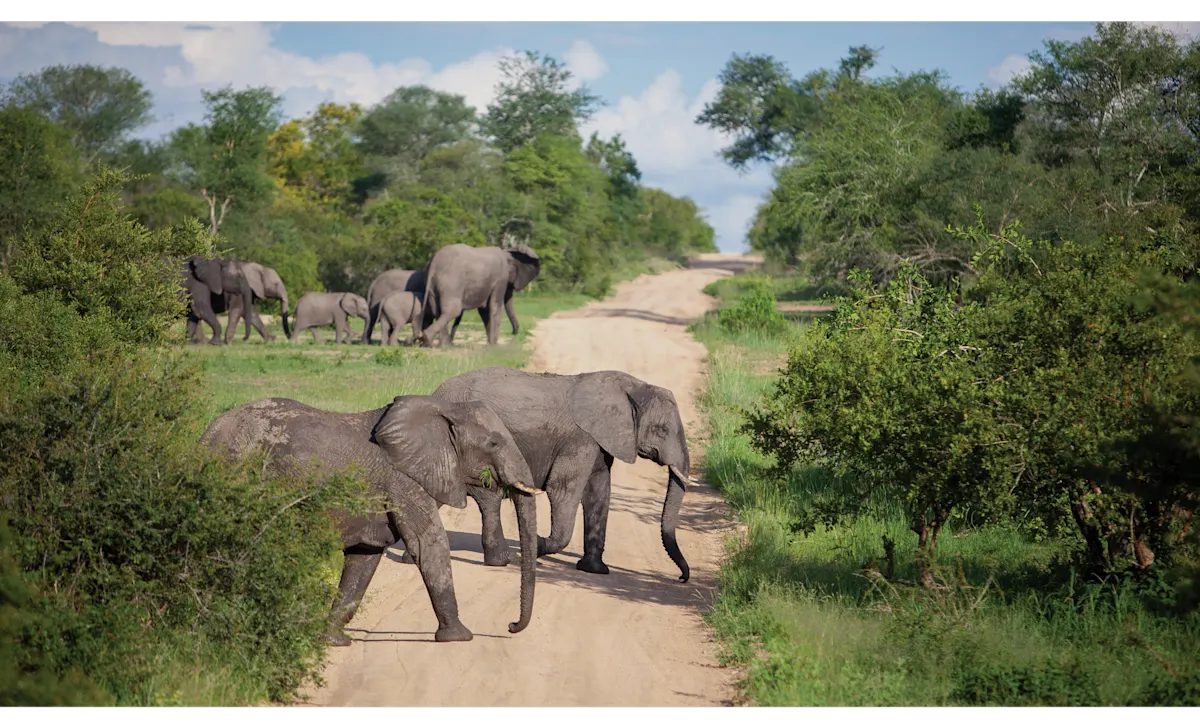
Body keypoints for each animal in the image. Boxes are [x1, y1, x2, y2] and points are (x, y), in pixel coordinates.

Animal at [199, 394, 543, 645]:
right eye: (494, 443)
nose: (511, 626)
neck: (443, 411)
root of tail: (205, 436)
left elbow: (364, 558)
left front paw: (333, 642)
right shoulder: (402, 480)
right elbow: (428, 544)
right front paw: (459, 637)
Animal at [431, 367, 697, 583]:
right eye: (661, 430)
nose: (681, 578)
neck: (632, 387)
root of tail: (436, 392)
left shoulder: (599, 442)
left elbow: (598, 493)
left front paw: (594, 570)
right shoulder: (580, 439)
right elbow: (562, 489)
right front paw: (536, 545)